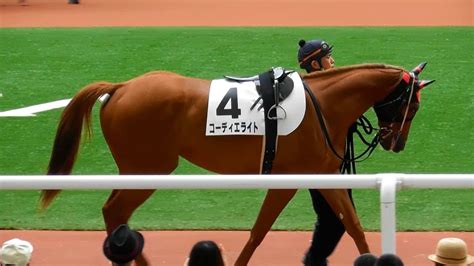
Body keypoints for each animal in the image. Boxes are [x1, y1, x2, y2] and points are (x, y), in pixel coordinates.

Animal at [40, 63, 434, 264]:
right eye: (412, 105)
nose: (396, 143)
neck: (323, 102)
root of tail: (121, 87)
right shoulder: (290, 179)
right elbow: (258, 232)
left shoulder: (322, 175)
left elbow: (352, 224)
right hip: (149, 168)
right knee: (114, 211)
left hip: (141, 169)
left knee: (114, 211)